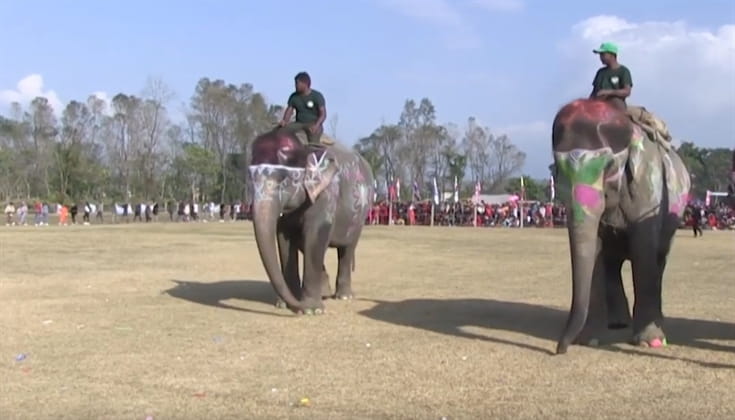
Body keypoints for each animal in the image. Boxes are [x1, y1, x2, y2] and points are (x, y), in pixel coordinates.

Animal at [248, 129, 375, 314]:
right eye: (250, 179)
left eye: (286, 179)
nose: (297, 304)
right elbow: (284, 239)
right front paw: (284, 305)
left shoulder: (327, 193)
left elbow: (315, 234)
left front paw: (311, 310)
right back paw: (324, 293)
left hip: (361, 214)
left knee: (347, 248)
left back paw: (343, 296)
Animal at [551, 98, 691, 355]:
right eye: (557, 170)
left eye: (608, 168)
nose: (559, 350)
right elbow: (595, 250)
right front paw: (589, 340)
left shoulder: (648, 185)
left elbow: (644, 249)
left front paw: (651, 341)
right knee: (611, 263)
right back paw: (616, 323)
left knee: (660, 258)